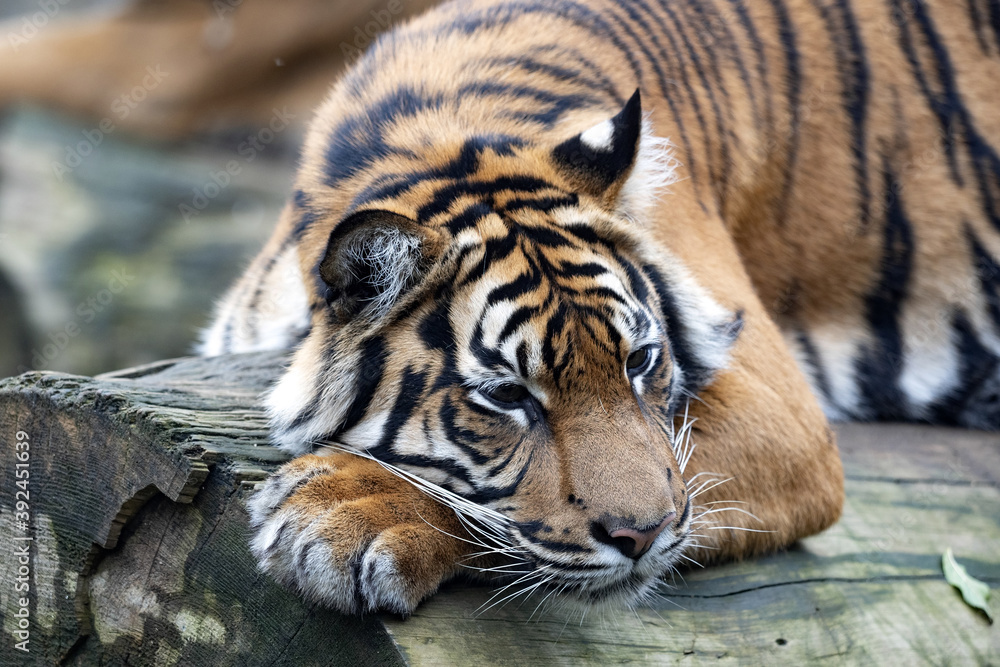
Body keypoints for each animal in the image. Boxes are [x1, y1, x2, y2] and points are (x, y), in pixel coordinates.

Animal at [200, 0, 1000, 614]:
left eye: (641, 360)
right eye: (507, 396)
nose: (643, 536)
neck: (448, 130)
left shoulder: (785, 418)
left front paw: (345, 515)